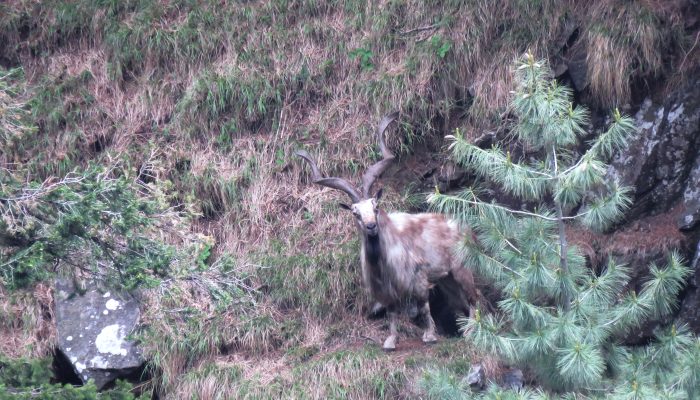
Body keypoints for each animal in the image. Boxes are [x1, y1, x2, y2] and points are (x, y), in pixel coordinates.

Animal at [294, 111, 482, 350]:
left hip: (462, 268)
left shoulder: (419, 279)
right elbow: (392, 312)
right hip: (446, 278)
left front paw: (430, 335)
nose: (371, 226)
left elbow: (423, 306)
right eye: (355, 212)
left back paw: (472, 331)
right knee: (462, 300)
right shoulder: (386, 289)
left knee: (474, 296)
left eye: (375, 207)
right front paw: (390, 341)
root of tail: (467, 229)